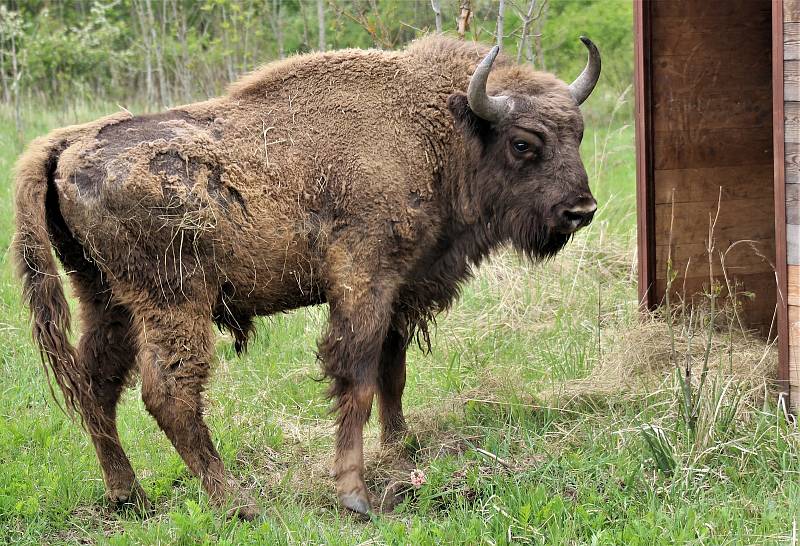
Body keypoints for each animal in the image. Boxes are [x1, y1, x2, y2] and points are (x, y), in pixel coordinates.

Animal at [14, 36, 600, 516]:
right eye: (523, 143)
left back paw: (127, 495)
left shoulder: (401, 288)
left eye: (578, 133)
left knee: (96, 385)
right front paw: (355, 495)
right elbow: (357, 378)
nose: (582, 210)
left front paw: (400, 449)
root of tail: (66, 145)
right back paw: (237, 504)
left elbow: (393, 373)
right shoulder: (364, 282)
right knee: (168, 394)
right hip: (173, 301)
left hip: (103, 298)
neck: (440, 128)